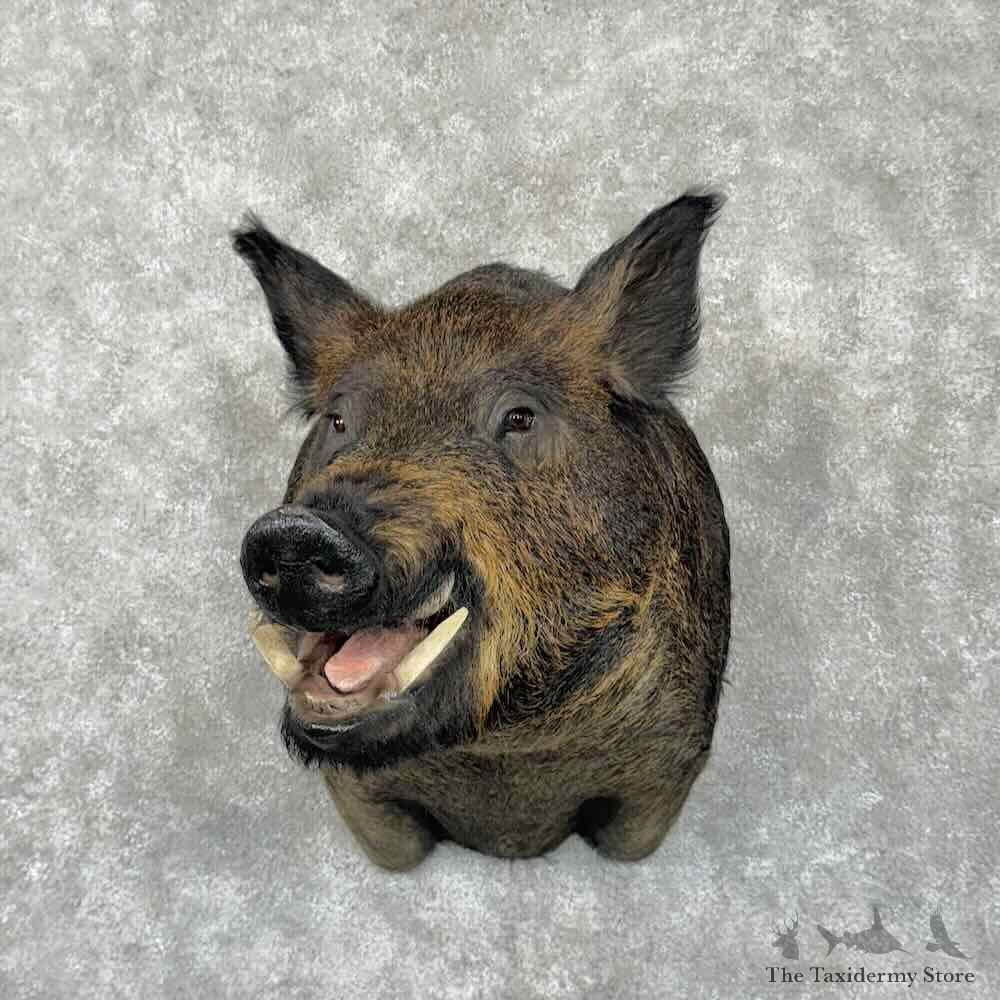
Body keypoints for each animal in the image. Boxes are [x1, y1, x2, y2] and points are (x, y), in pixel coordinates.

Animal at [234, 191, 731, 870]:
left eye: (520, 418)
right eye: (338, 419)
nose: (297, 531)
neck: (498, 759)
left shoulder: (668, 769)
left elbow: (629, 843)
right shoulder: (361, 799)